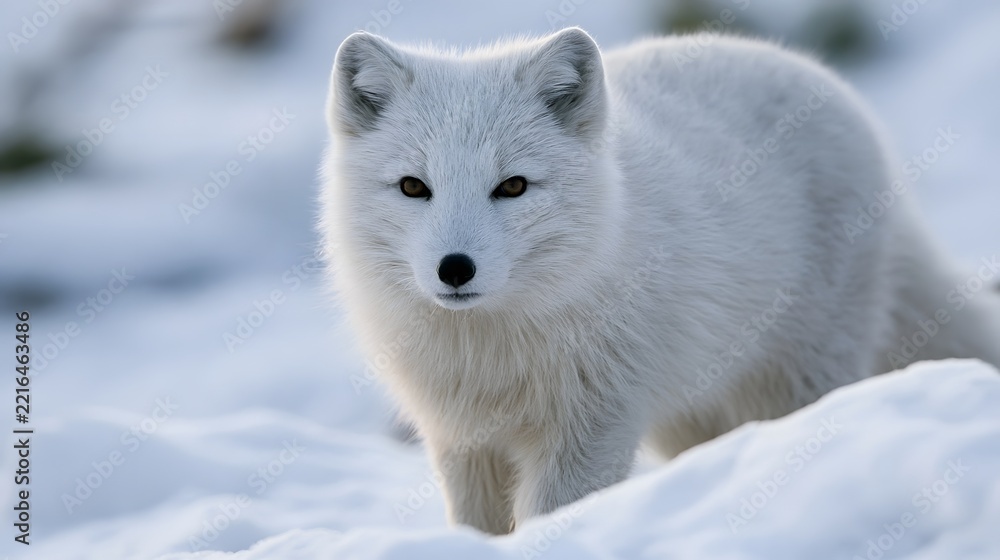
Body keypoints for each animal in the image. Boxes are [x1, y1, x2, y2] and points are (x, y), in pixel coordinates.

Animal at [319, 27, 1000, 534]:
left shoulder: (591, 427)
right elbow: (476, 525)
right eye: (414, 186)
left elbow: (553, 512)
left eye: (512, 186)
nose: (454, 268)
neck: (489, 352)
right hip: (686, 412)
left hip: (796, 376)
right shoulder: (462, 439)